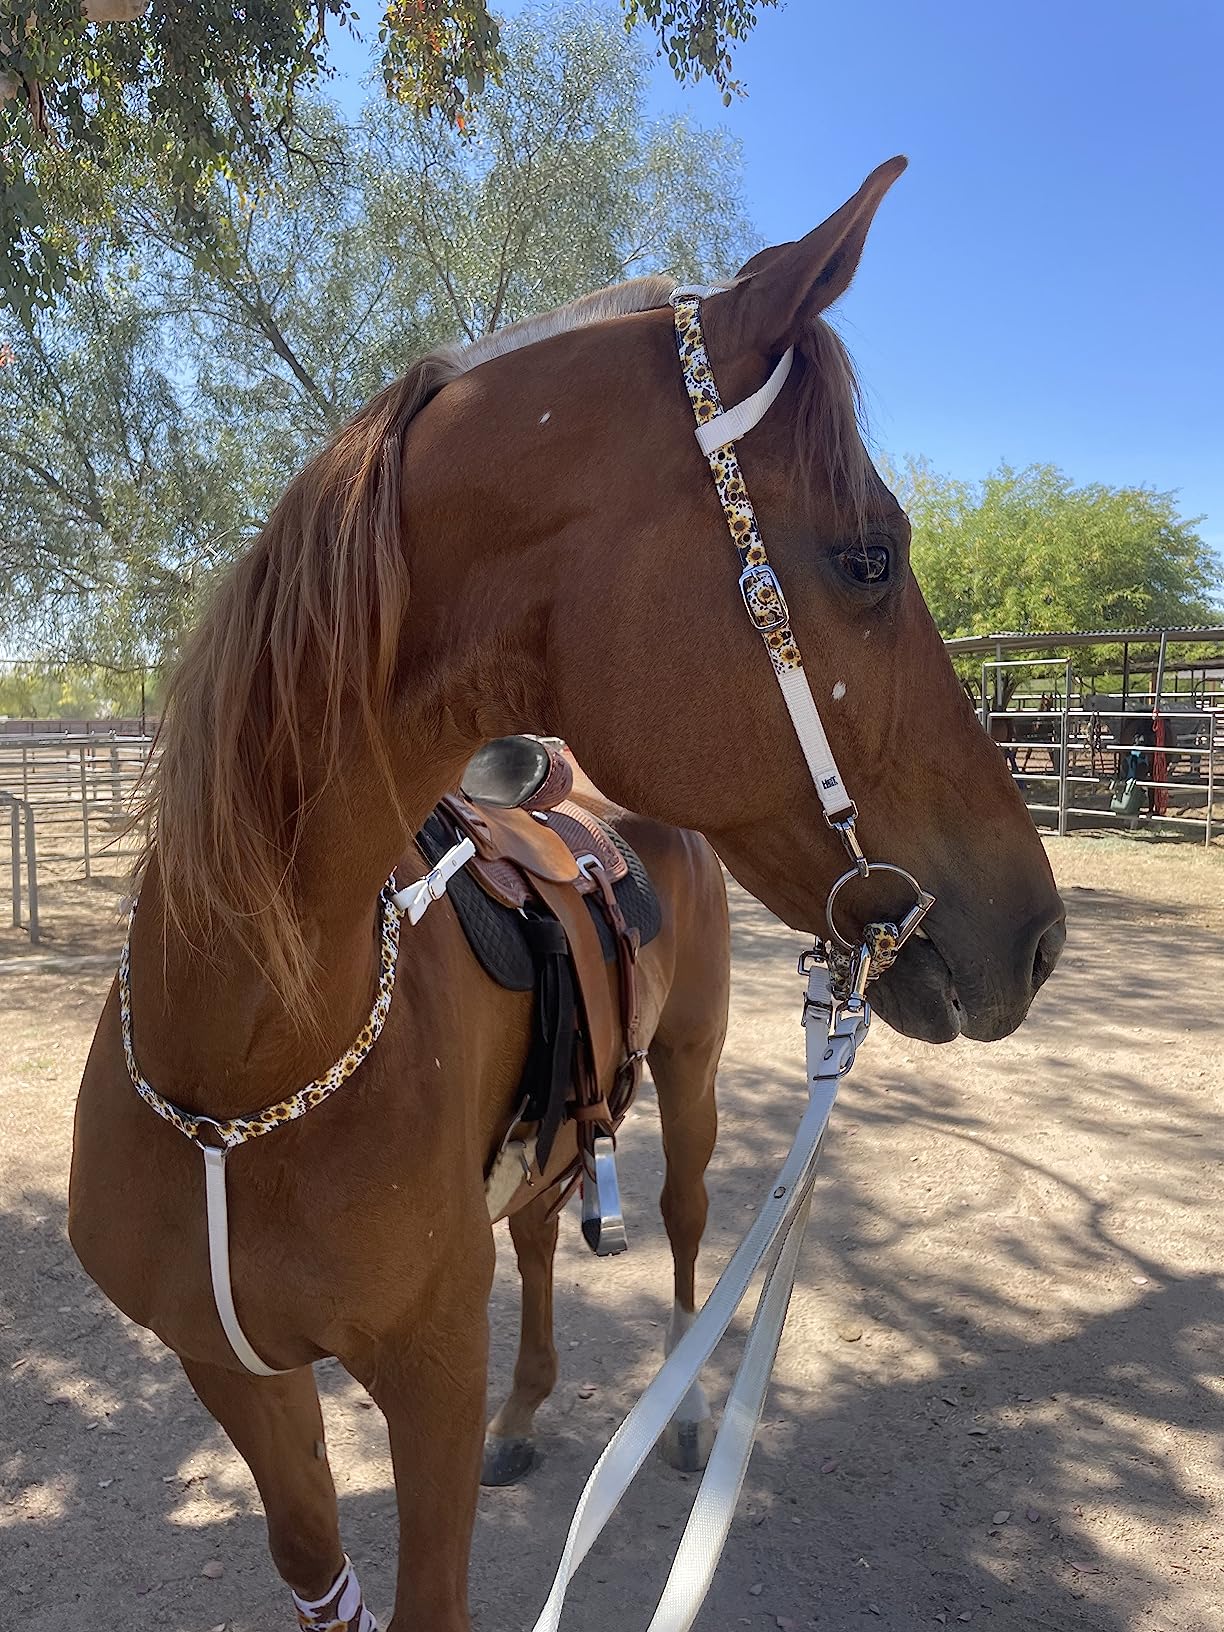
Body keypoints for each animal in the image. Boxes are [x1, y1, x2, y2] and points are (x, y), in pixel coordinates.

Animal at [68, 158, 1065, 1631]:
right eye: (870, 555)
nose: (1040, 936)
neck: (243, 1073)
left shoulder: (424, 1378)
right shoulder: (236, 1374)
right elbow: (318, 1571)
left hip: (694, 1080)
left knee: (687, 1227)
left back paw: (691, 1414)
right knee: (542, 1241)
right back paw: (533, 1411)